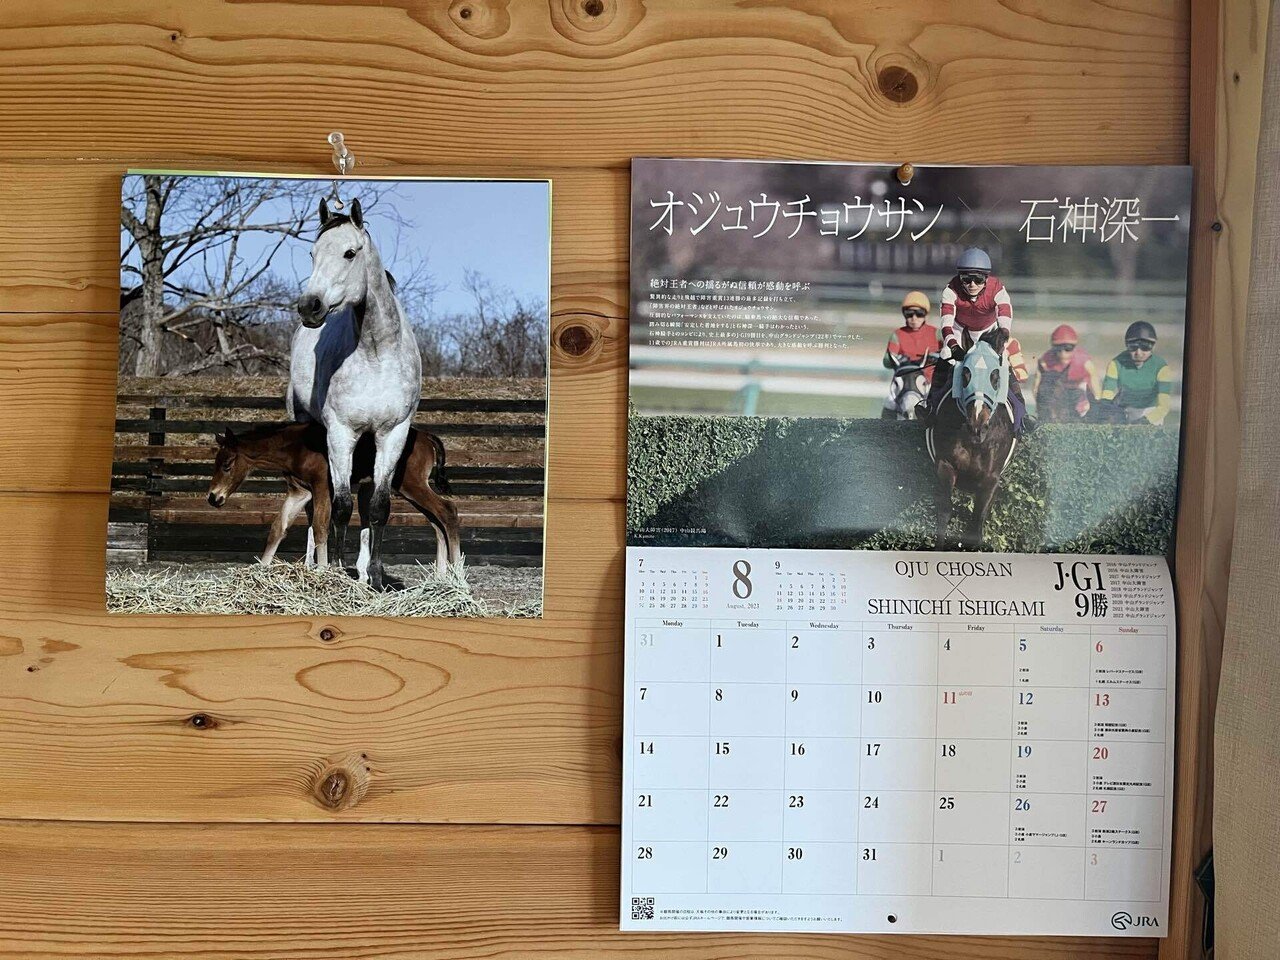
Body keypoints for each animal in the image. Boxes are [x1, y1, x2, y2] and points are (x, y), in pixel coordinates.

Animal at [206, 422, 461, 575]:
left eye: (227, 465)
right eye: (216, 463)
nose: (213, 497)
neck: (296, 447)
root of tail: (426, 436)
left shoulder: (322, 488)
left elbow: (320, 529)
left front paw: (322, 572)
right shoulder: (300, 492)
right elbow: (278, 527)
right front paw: (260, 572)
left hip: (412, 484)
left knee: (448, 510)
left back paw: (457, 575)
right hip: (409, 489)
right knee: (436, 522)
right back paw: (441, 578)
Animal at [289, 197, 423, 590]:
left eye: (350, 253)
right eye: (313, 253)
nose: (310, 306)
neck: (376, 353)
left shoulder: (391, 434)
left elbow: (377, 507)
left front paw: (375, 578)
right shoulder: (340, 433)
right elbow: (340, 506)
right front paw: (335, 569)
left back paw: (362, 571)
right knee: (315, 502)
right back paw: (314, 563)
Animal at [925, 332, 1018, 548]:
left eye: (995, 376)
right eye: (965, 375)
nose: (977, 428)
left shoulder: (991, 479)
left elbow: (976, 522)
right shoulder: (945, 465)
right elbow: (945, 510)